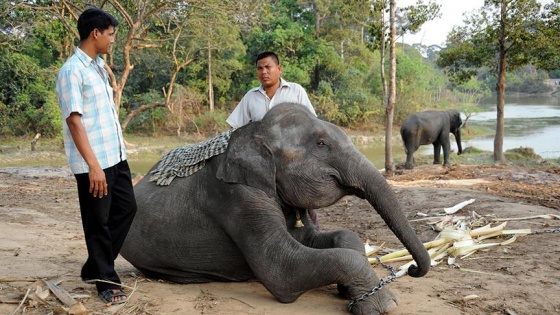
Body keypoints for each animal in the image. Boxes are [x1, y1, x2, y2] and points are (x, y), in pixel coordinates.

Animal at [120, 102, 430, 314]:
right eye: (321, 144)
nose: (413, 269)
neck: (255, 131)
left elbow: (333, 237)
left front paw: (349, 292)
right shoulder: (236, 195)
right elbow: (281, 269)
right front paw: (384, 305)